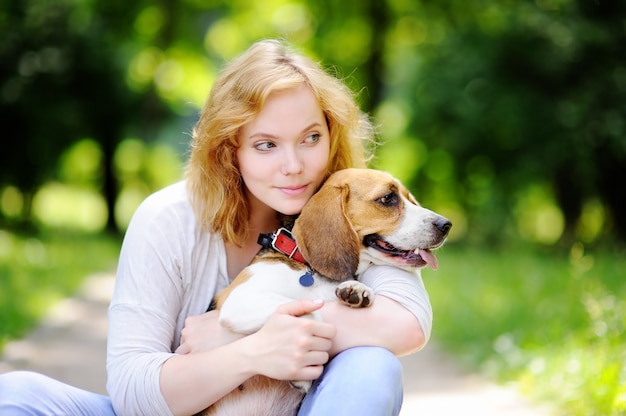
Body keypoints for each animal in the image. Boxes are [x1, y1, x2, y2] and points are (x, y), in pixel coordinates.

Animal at [202, 167, 450, 416]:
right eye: (388, 198)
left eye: (409, 198)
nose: (446, 224)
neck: (310, 270)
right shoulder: (240, 300)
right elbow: (313, 315)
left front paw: (356, 290)